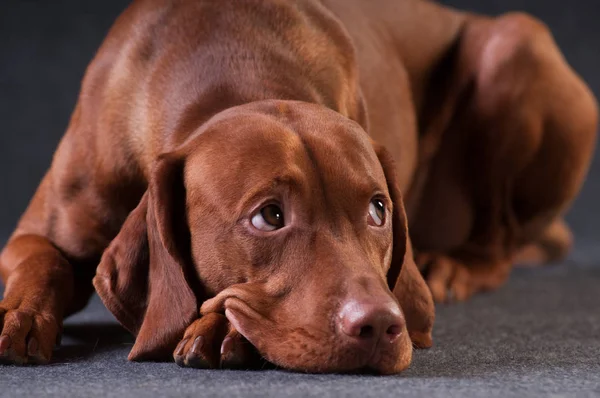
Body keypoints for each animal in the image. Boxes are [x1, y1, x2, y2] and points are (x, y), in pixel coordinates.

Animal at [0, 0, 596, 374]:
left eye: (378, 210)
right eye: (269, 216)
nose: (381, 325)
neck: (231, 62)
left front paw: (218, 328)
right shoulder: (36, 232)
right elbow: (42, 260)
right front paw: (19, 314)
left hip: (514, 41)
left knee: (497, 238)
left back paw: (457, 265)